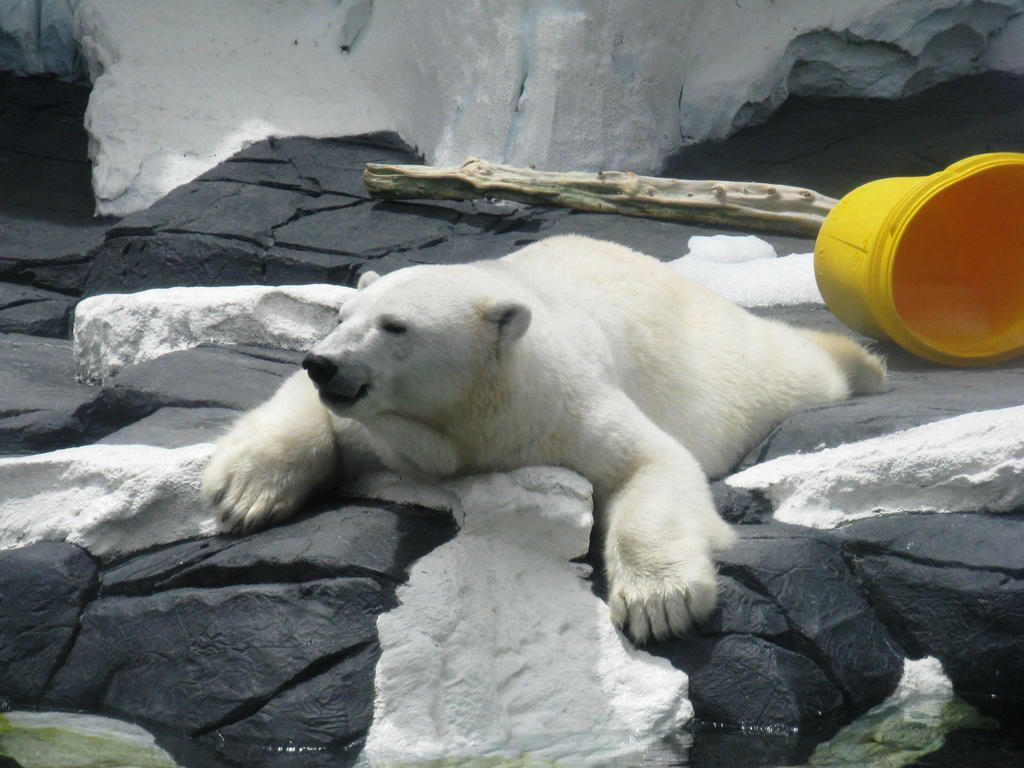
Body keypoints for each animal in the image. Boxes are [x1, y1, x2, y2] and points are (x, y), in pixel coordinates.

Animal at [203, 234, 886, 643]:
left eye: (394, 326)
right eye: (342, 316)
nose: (322, 362)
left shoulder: (561, 408)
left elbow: (652, 463)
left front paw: (658, 603)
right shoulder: (380, 423)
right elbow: (304, 412)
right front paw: (243, 493)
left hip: (726, 362)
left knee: (793, 366)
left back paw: (864, 363)